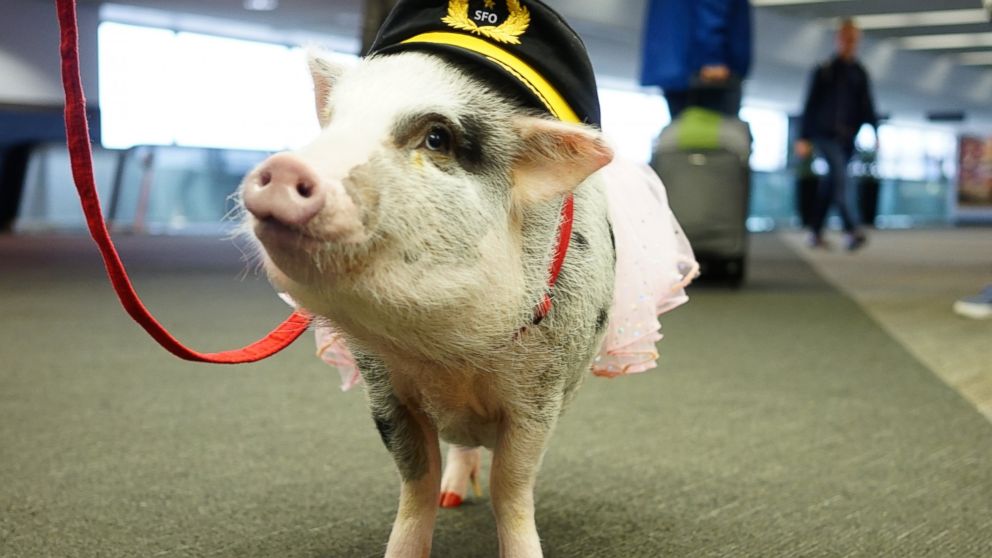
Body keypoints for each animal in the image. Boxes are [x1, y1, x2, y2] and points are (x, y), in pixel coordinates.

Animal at [237, 0, 692, 556]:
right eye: (334, 125)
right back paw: (455, 497)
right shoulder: (382, 388)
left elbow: (511, 487)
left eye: (437, 138)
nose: (283, 169)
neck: (449, 353)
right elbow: (416, 483)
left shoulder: (540, 392)